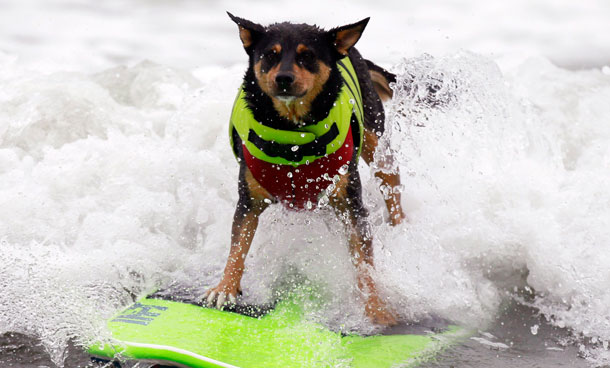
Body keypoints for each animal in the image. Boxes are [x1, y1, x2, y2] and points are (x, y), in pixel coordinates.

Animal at [202, 12, 406, 326]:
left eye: (307, 55)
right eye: (270, 55)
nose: (284, 78)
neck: (293, 135)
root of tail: (352, 50)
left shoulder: (350, 201)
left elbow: (363, 261)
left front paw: (376, 308)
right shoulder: (249, 198)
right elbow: (238, 245)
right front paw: (225, 287)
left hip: (375, 136)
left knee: (391, 181)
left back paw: (401, 227)